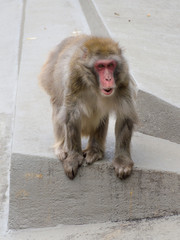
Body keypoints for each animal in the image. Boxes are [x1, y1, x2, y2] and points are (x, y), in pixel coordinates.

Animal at [39, 34, 138, 179]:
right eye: (100, 66)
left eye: (111, 65)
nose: (108, 79)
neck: (95, 86)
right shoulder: (74, 78)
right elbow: (71, 116)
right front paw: (74, 157)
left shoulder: (123, 80)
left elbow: (124, 116)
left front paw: (122, 160)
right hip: (50, 79)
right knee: (59, 107)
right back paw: (61, 147)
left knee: (102, 115)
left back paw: (94, 151)